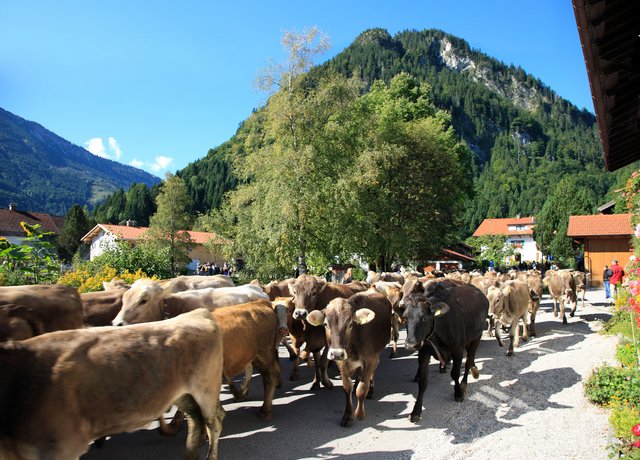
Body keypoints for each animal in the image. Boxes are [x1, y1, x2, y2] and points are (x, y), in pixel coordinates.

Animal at [0, 310, 225, 460]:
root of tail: (198, 313)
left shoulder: (63, 448)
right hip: (182, 394)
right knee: (196, 422)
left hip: (205, 389)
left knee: (214, 423)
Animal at [308, 292, 392, 428]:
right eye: (325, 324)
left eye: (351, 325)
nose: (337, 353)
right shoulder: (341, 362)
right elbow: (347, 388)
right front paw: (348, 416)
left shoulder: (370, 360)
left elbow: (362, 389)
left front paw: (360, 414)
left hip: (377, 354)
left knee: (373, 371)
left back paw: (371, 390)